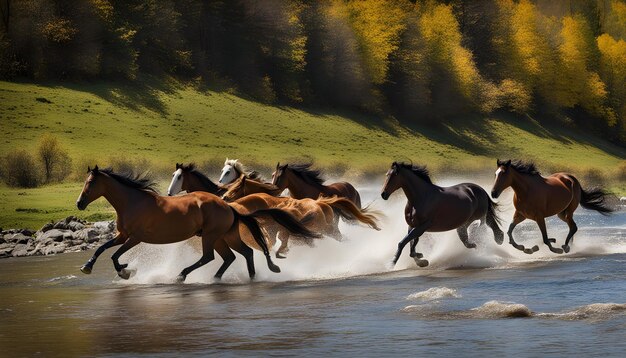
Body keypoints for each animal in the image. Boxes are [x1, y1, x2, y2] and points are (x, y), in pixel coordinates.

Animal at [77, 166, 320, 282]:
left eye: (90, 183)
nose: (79, 203)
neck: (133, 202)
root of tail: (229, 207)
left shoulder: (135, 238)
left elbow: (114, 255)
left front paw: (125, 271)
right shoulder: (122, 235)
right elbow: (102, 249)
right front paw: (88, 266)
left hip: (211, 236)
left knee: (210, 257)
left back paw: (183, 275)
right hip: (225, 236)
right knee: (240, 254)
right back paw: (244, 277)